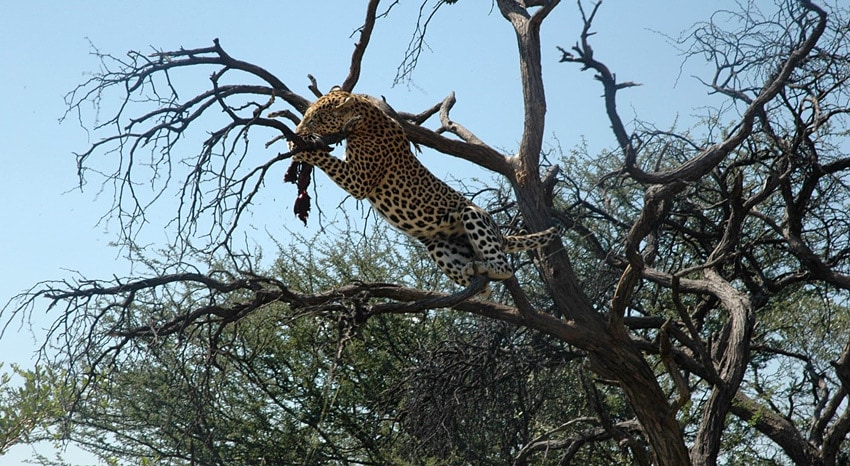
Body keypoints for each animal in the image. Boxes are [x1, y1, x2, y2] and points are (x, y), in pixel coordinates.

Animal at [289, 87, 558, 288]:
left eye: (314, 118)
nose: (298, 129)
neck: (364, 117)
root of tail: (501, 234)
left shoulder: (359, 180)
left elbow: (329, 160)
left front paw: (300, 146)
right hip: (439, 247)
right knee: (481, 285)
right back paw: (471, 274)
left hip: (473, 215)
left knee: (506, 268)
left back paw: (484, 267)